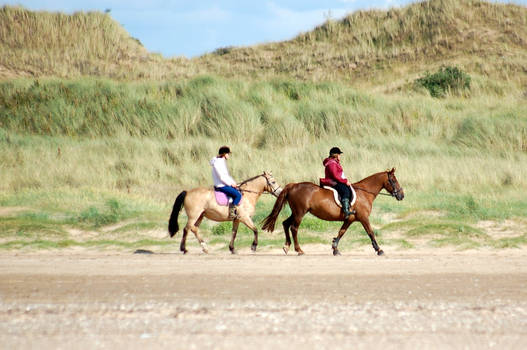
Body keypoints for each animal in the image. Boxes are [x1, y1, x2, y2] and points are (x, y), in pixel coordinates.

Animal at [262, 168, 404, 256]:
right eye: (394, 180)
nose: (401, 195)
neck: (364, 193)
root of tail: (293, 185)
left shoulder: (349, 219)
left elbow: (341, 232)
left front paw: (335, 248)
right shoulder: (363, 218)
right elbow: (371, 232)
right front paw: (379, 250)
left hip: (296, 212)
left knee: (286, 224)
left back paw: (286, 246)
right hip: (300, 213)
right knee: (294, 228)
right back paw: (299, 250)